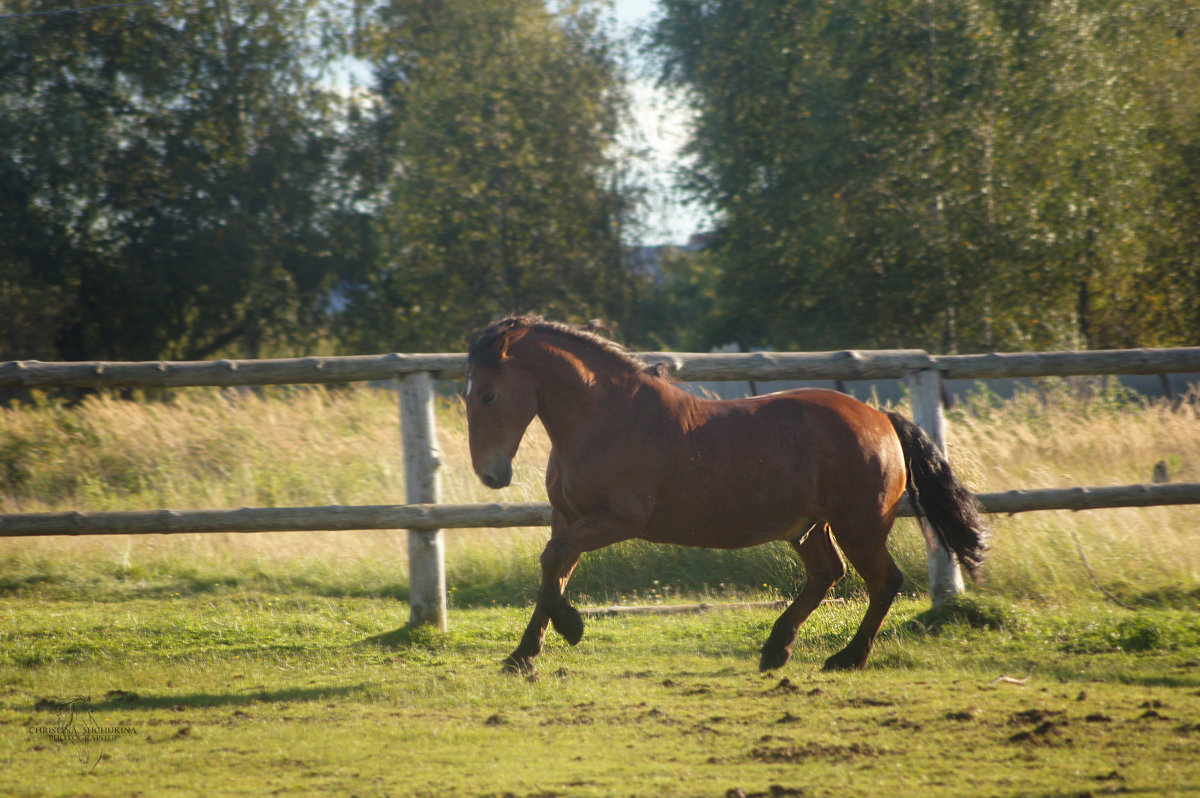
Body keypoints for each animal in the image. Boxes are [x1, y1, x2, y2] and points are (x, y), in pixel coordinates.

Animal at [463, 314, 988, 676]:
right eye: (466, 394)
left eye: (489, 395)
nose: (491, 475)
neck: (606, 419)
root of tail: (881, 419)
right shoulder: (568, 518)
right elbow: (554, 570)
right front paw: (521, 657)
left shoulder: (618, 518)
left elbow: (553, 562)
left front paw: (569, 628)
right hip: (807, 528)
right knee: (827, 574)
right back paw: (776, 649)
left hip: (859, 524)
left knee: (883, 582)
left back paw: (847, 658)